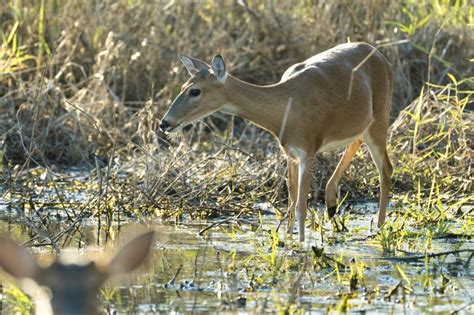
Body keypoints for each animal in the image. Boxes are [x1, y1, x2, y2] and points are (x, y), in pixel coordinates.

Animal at [161, 42, 394, 244]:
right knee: (357, 143)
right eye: (183, 86)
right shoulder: (290, 152)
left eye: (195, 91)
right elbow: (291, 199)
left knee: (386, 169)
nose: (165, 123)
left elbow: (301, 205)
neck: (285, 108)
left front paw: (301, 245)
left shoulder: (308, 150)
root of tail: (383, 57)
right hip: (361, 124)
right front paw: (288, 238)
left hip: (381, 117)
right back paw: (331, 203)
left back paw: (379, 228)